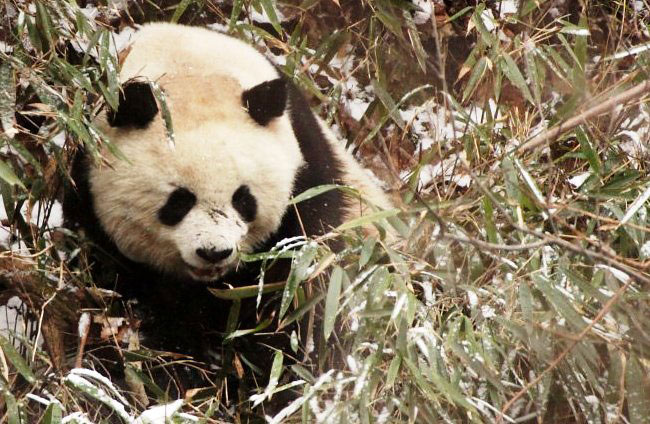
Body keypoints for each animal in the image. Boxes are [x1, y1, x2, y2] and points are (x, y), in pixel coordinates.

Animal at [64, 23, 390, 390]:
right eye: (179, 201)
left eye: (243, 199)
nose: (213, 252)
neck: (192, 68)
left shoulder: (308, 182)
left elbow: (301, 293)